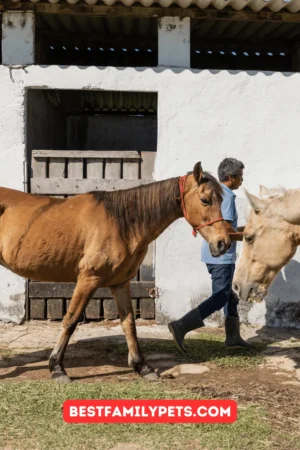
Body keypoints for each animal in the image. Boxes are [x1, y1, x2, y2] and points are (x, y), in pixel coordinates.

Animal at [0, 162, 230, 380]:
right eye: (205, 200)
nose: (223, 243)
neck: (121, 223)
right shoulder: (88, 279)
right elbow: (71, 320)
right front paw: (57, 367)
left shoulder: (120, 283)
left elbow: (129, 324)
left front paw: (142, 367)